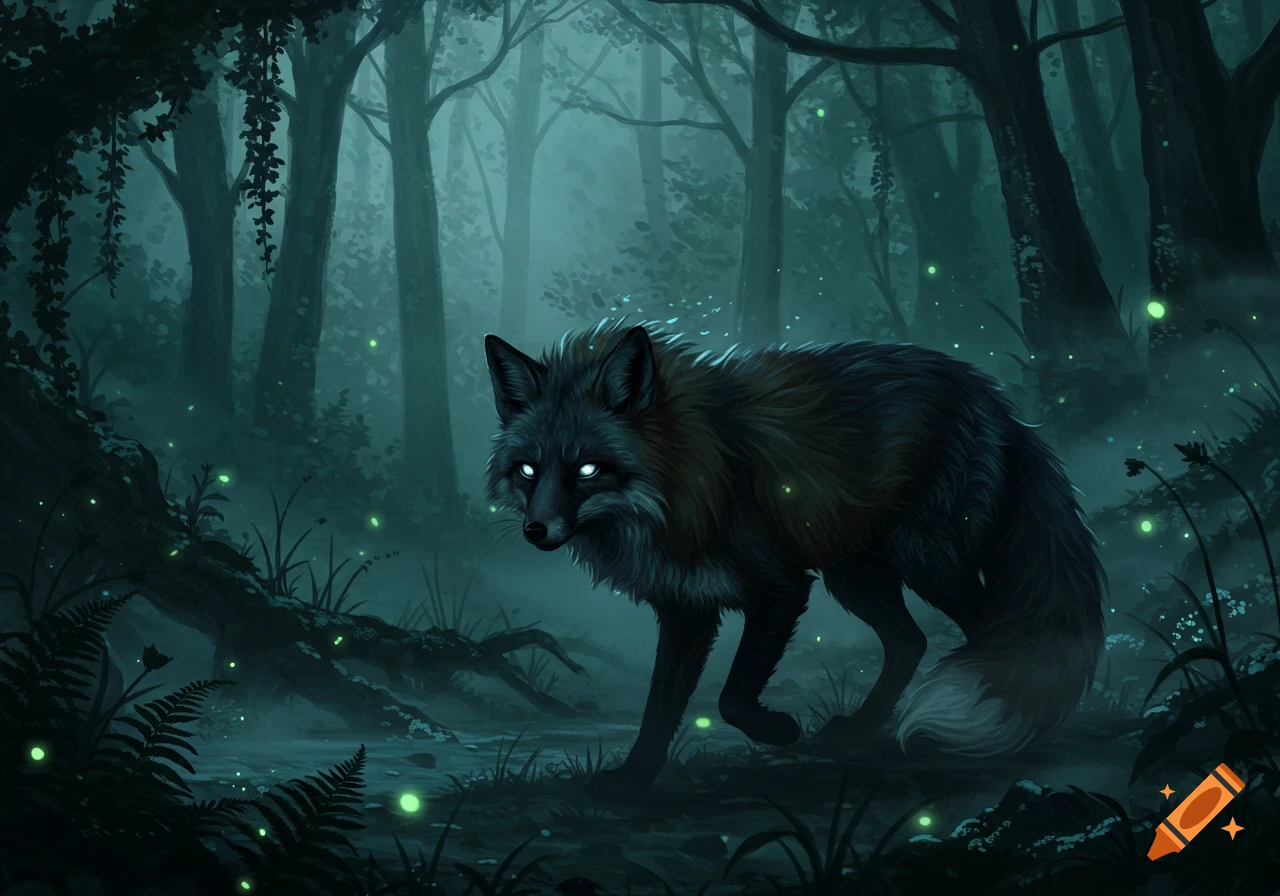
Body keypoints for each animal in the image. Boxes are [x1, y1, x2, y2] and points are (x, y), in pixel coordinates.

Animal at [484, 320, 1105, 797]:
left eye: (588, 469)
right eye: (528, 470)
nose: (536, 530)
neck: (681, 481)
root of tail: (994, 398)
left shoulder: (779, 587)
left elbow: (733, 697)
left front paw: (777, 732)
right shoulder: (686, 608)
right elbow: (659, 710)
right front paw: (632, 780)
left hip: (925, 559)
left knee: (992, 633)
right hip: (854, 577)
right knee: (910, 642)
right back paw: (858, 732)